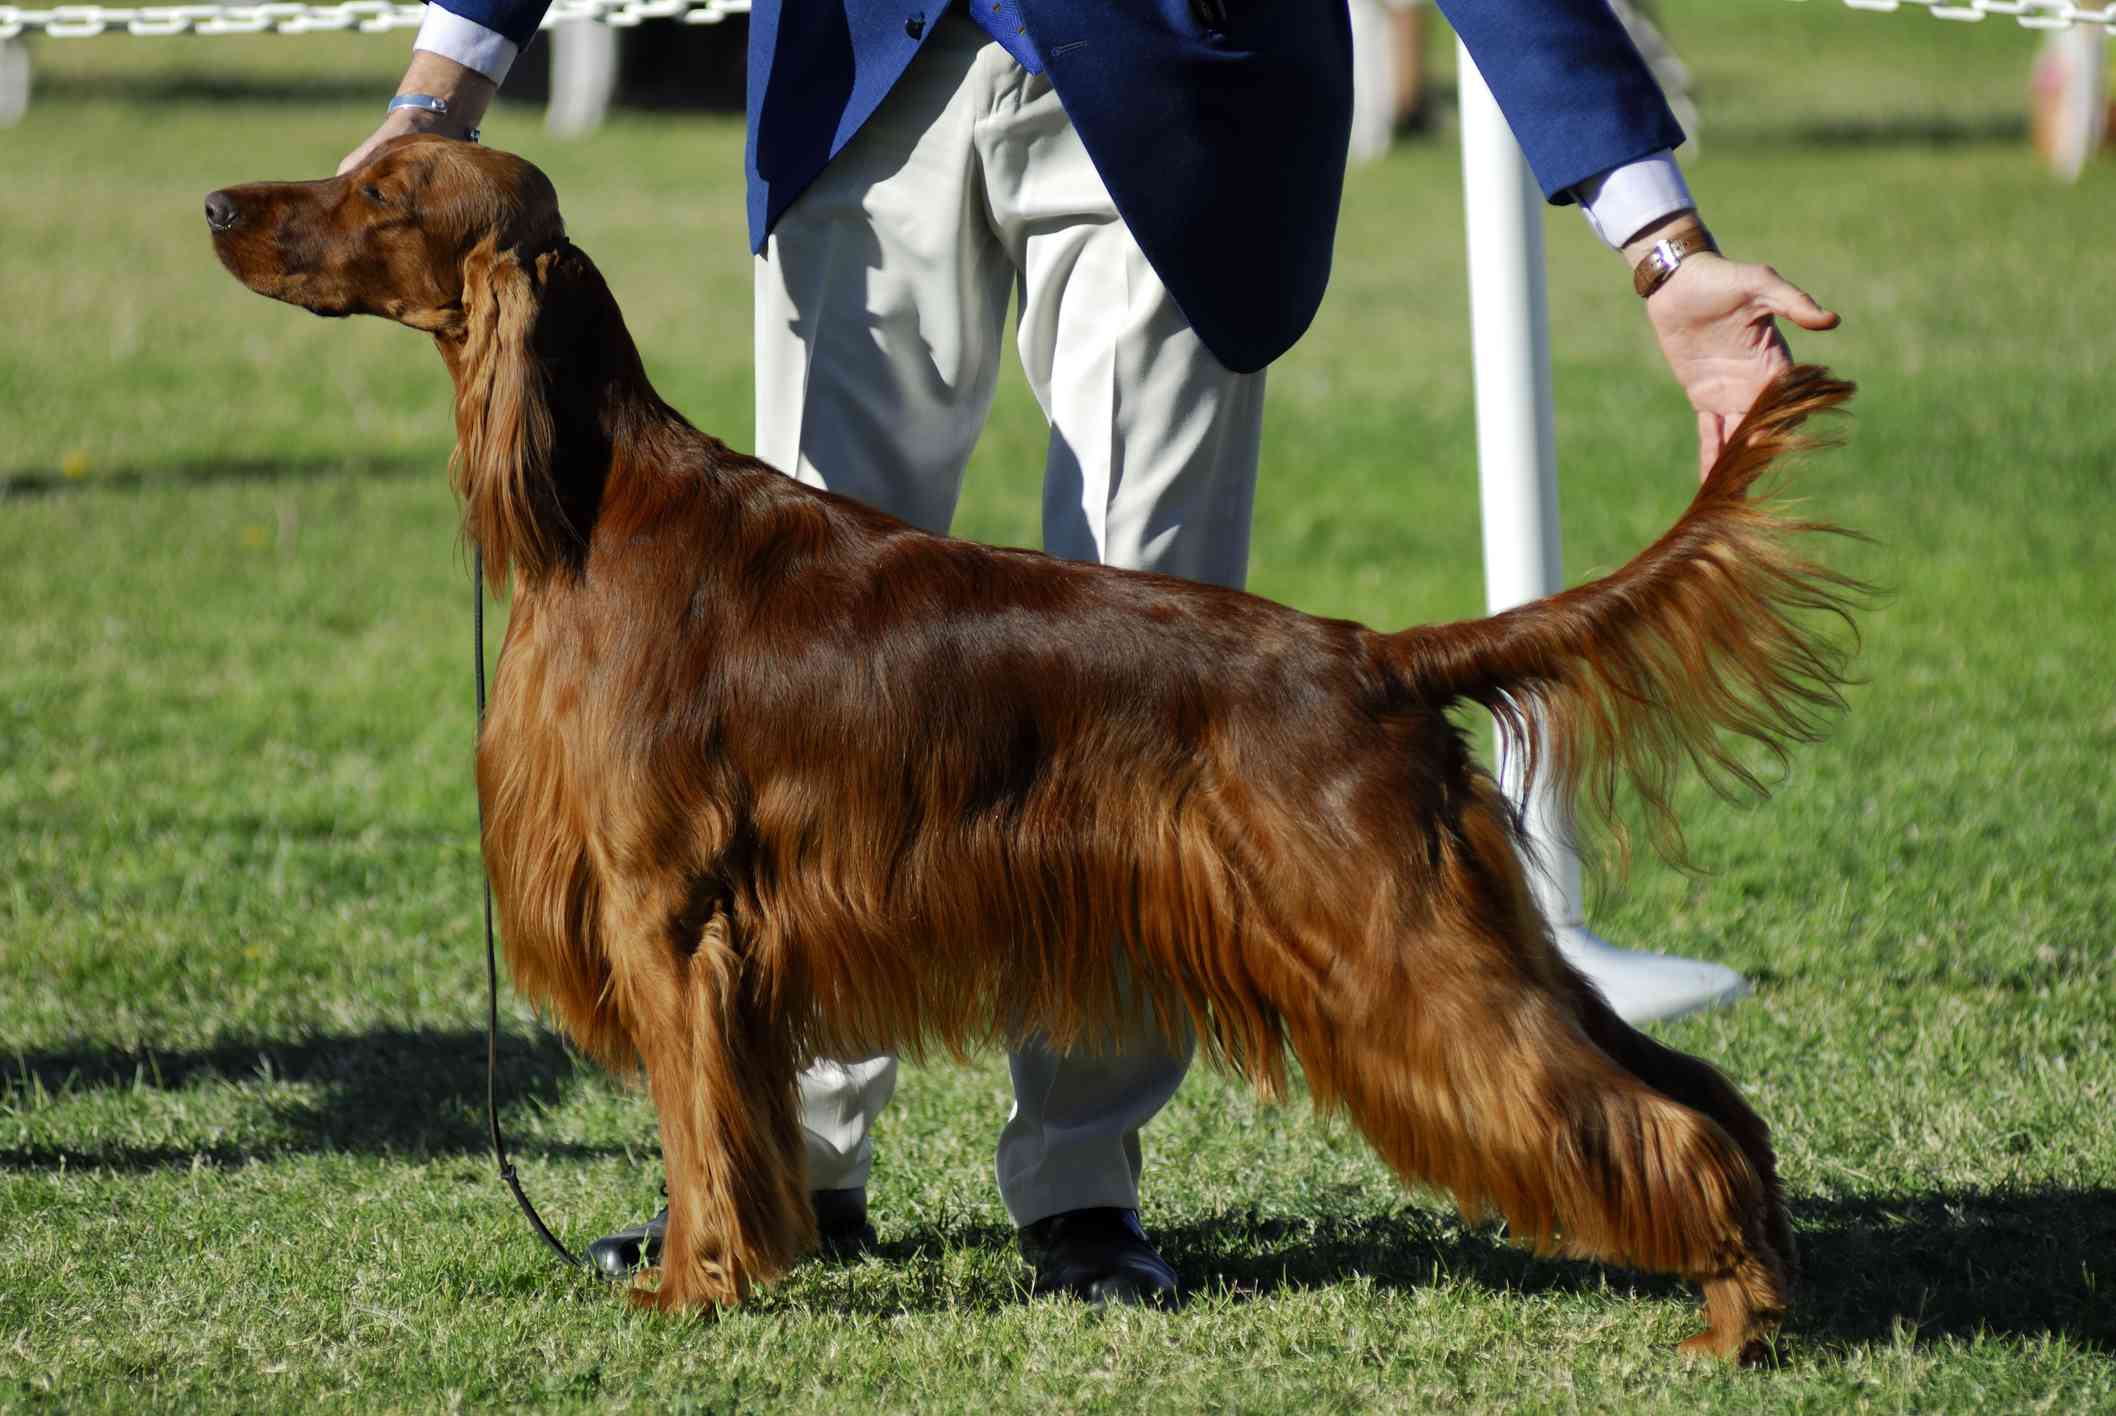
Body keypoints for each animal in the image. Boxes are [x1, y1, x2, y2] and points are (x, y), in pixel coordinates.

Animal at [206, 140, 1862, 1354]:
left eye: (382, 192)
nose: (219, 204)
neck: (594, 507)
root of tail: (1369, 655)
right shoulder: (726, 944)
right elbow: (738, 1128)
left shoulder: (670, 917)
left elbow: (696, 1137)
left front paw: (691, 1289)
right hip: (1467, 928)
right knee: (1697, 1092)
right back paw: (1762, 1284)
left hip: (1399, 947)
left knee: (1645, 1117)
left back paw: (1730, 1320)